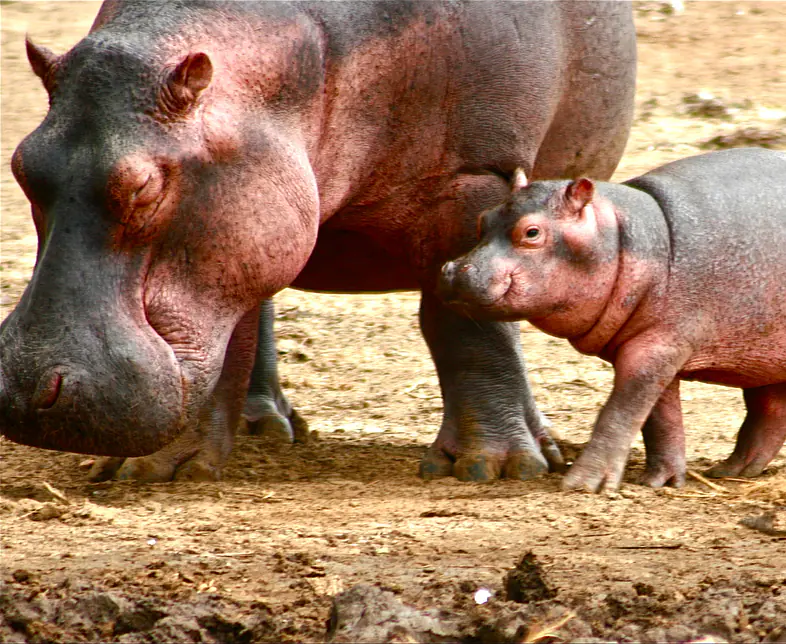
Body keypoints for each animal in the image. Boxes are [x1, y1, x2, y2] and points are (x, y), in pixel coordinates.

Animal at [0, 0, 636, 483]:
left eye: (142, 186)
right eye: (21, 165)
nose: (27, 391)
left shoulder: (474, 177)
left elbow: (467, 324)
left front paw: (491, 468)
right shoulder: (238, 228)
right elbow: (226, 337)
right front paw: (152, 467)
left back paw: (542, 448)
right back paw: (263, 428)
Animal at [440, 148, 786, 492]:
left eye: (532, 232)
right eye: (483, 220)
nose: (455, 271)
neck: (620, 234)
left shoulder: (659, 345)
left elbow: (619, 414)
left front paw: (582, 484)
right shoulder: (653, 348)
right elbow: (660, 418)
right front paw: (658, 481)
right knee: (768, 412)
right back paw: (729, 471)